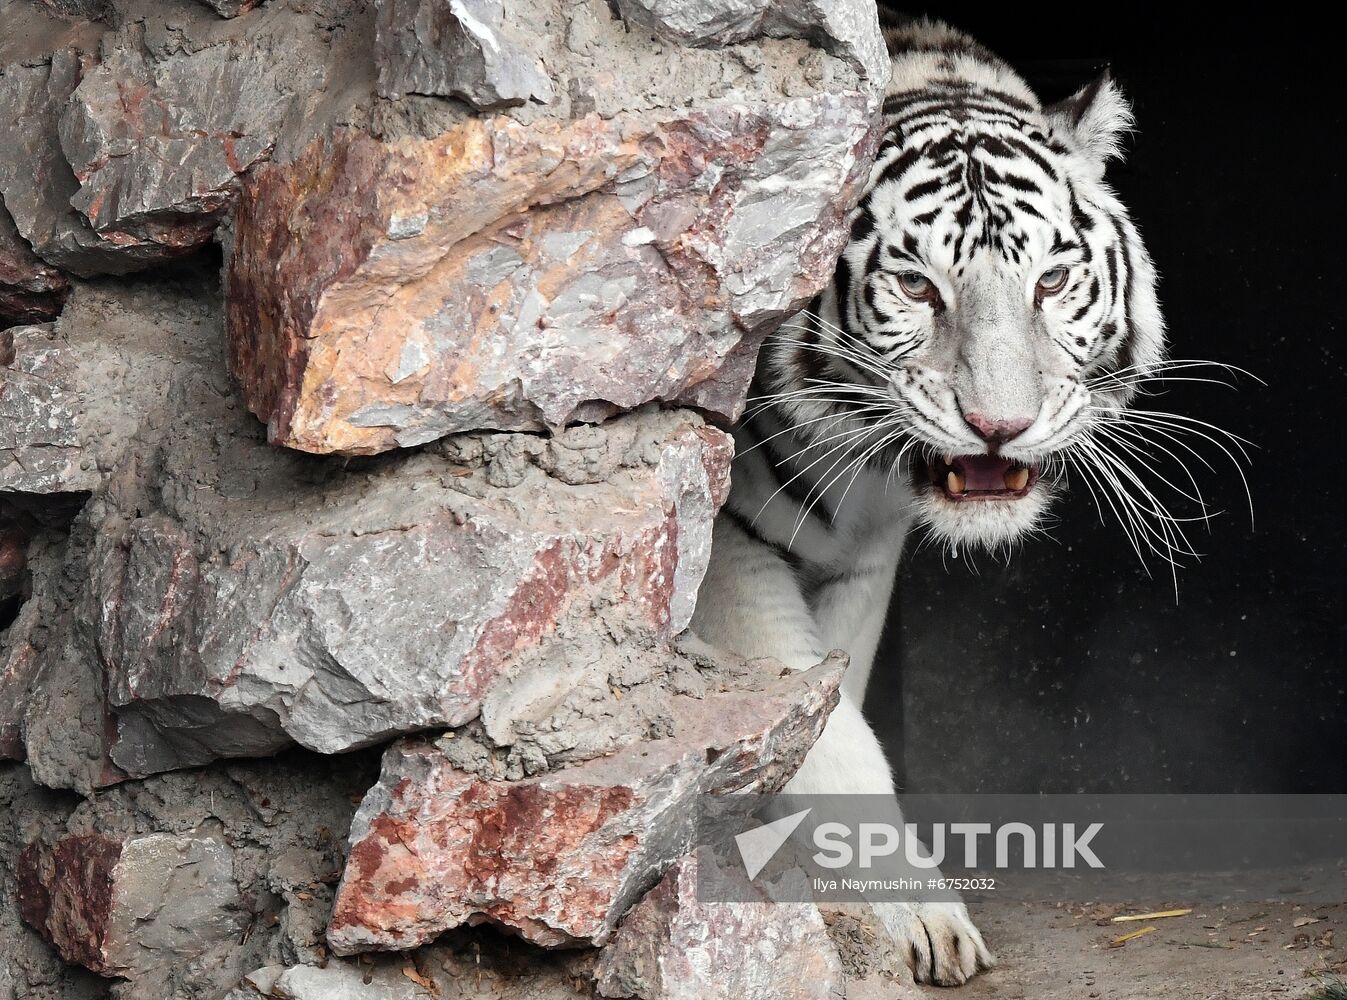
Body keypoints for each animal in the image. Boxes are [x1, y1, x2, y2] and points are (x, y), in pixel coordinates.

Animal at [695, 17, 1169, 997]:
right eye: (916, 286)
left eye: (1051, 283)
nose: (1000, 425)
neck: (864, 470)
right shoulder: (729, 551)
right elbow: (829, 737)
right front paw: (916, 917)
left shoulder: (864, 564)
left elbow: (834, 692)